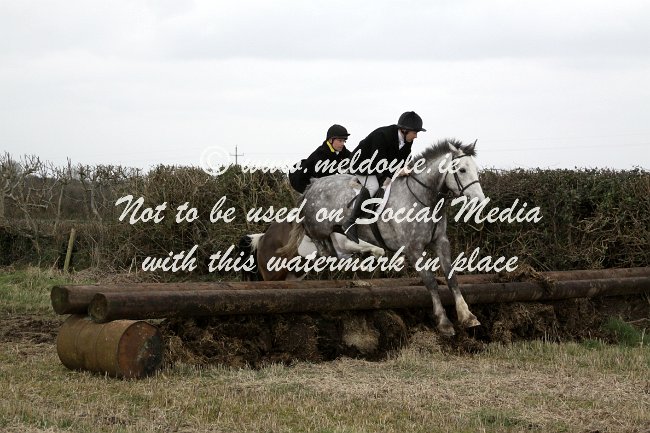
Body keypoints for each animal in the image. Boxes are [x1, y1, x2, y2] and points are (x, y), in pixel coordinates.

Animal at [282, 139, 485, 337]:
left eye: (475, 169)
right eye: (462, 170)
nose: (480, 201)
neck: (425, 199)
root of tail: (312, 185)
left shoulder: (441, 242)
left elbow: (451, 277)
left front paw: (467, 316)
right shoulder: (413, 248)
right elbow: (430, 281)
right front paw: (444, 323)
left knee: (336, 250)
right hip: (319, 228)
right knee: (323, 249)